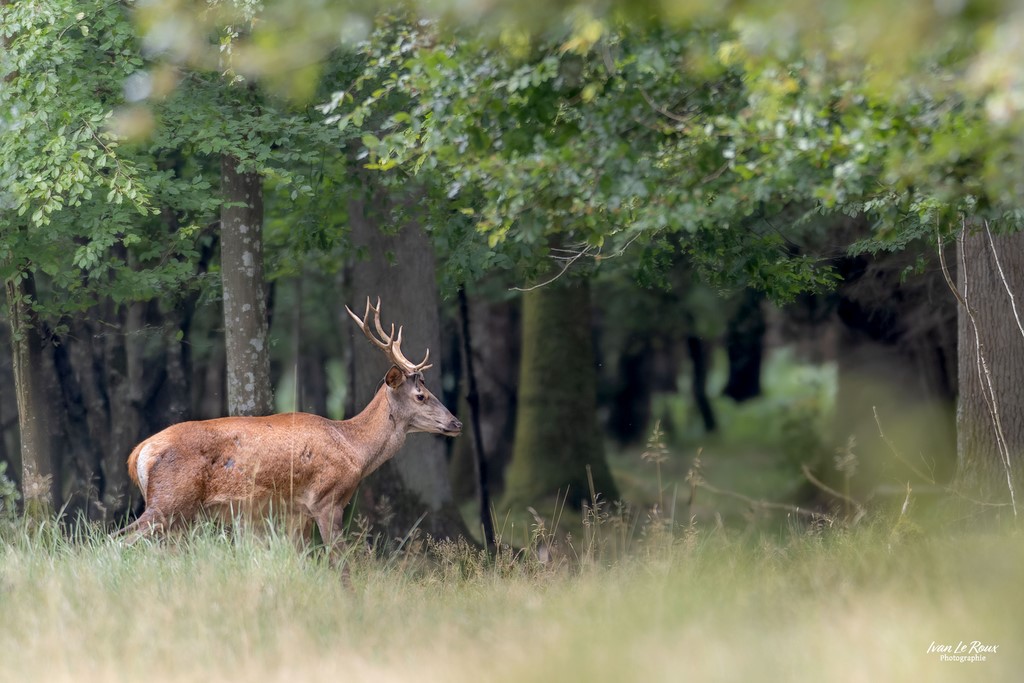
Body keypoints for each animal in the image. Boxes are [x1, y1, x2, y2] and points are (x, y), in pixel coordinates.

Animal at [114, 297, 462, 556]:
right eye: (421, 395)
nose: (456, 422)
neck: (354, 449)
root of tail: (138, 453)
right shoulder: (325, 498)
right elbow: (340, 562)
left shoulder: (296, 513)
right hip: (168, 502)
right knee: (117, 540)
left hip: (179, 515)